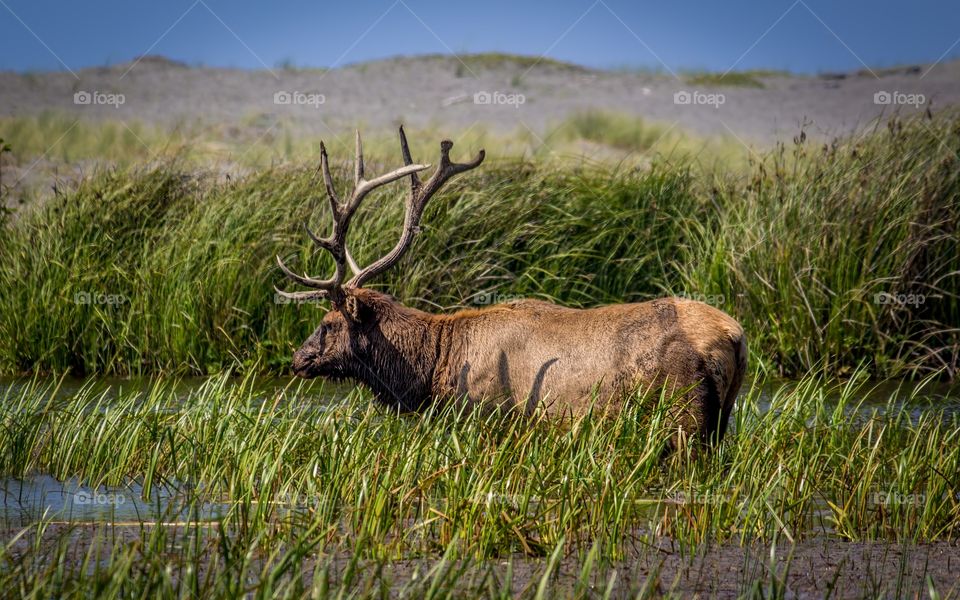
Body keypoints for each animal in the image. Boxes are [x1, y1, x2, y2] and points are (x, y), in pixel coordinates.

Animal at [278, 127, 752, 450]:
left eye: (329, 322)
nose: (297, 358)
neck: (434, 365)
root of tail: (735, 336)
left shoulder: (487, 418)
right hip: (721, 421)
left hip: (683, 420)